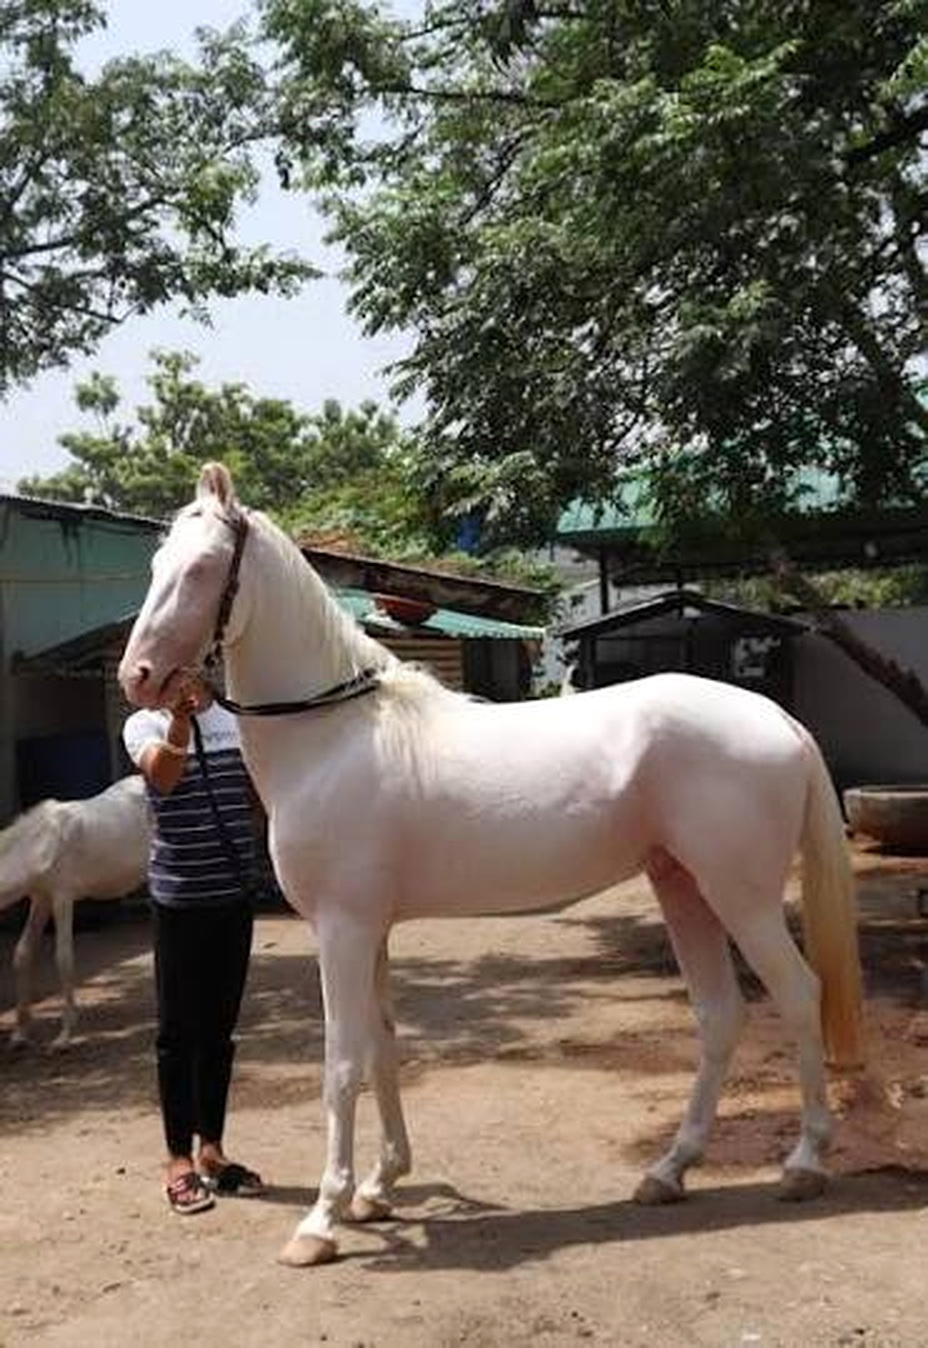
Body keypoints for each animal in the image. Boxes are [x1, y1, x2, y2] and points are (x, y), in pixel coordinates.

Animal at [1, 775, 151, 1049]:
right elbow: (22, 953)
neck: (41, 842)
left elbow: (64, 958)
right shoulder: (41, 899)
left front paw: (64, 1037)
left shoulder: (62, 897)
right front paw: (20, 1034)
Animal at [118, 462, 864, 1268]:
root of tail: (776, 717)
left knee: (799, 994)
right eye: (154, 566)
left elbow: (342, 1064)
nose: (139, 676)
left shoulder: (343, 930)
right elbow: (382, 1048)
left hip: (742, 897)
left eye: (200, 569)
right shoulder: (371, 931)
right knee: (720, 1014)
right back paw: (669, 1171)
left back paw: (803, 1164)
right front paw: (379, 1189)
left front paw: (322, 1220)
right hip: (683, 887)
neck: (334, 735)